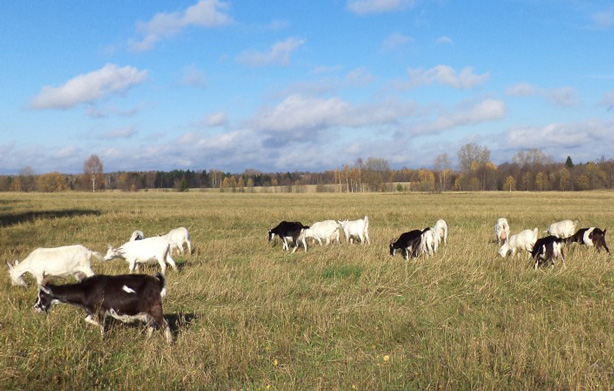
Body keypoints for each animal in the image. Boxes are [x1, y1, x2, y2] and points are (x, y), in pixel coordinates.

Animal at [33, 272, 173, 344]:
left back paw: (169, 343)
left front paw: (102, 340)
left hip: (155, 308)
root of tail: (158, 282)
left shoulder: (100, 310)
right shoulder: (93, 311)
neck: (86, 290)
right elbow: (88, 320)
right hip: (146, 312)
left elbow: (101, 326)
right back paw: (146, 341)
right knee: (151, 325)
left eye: (42, 295)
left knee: (164, 324)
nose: (34, 308)